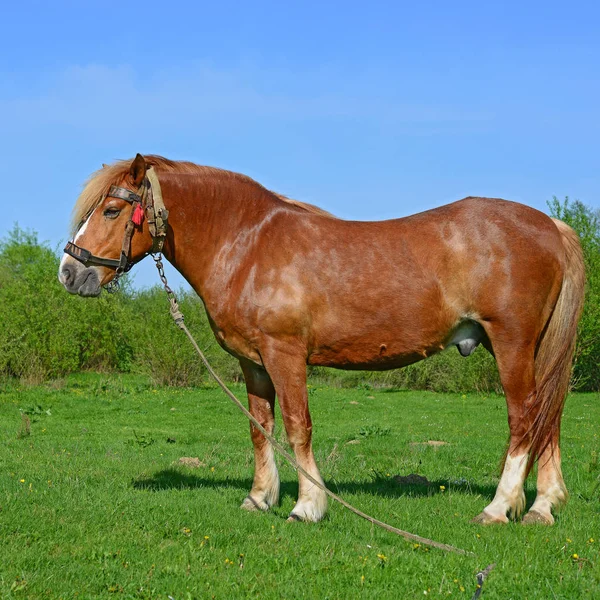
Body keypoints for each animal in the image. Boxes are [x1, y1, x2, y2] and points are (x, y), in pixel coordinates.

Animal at [58, 154, 584, 524]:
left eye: (111, 210)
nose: (69, 272)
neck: (246, 244)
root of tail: (550, 226)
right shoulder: (253, 362)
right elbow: (260, 427)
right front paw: (259, 498)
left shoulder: (285, 354)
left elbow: (297, 426)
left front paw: (307, 506)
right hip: (536, 350)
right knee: (549, 417)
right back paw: (543, 506)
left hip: (511, 343)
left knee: (525, 418)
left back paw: (499, 508)